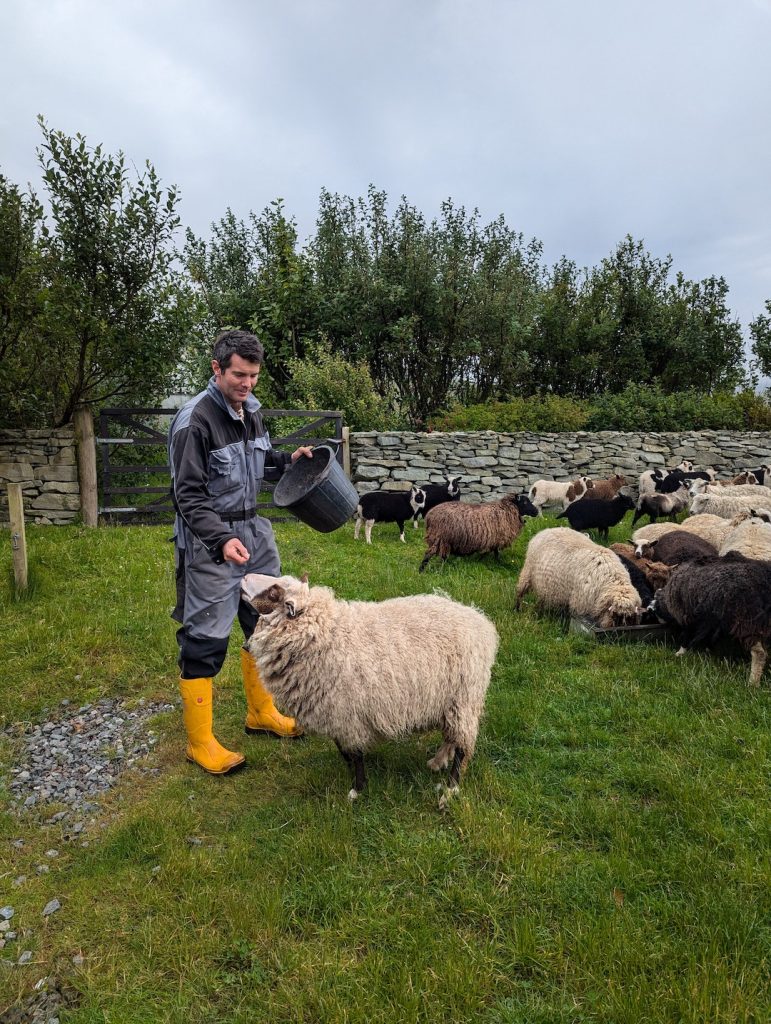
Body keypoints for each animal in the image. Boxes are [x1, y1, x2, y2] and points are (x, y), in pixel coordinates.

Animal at [241, 572, 499, 803]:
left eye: (273, 593)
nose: (243, 577)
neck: (325, 633)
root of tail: (480, 622)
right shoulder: (335, 715)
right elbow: (344, 749)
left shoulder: (347, 715)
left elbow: (355, 754)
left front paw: (357, 789)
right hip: (448, 702)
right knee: (451, 737)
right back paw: (437, 762)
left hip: (464, 698)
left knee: (463, 746)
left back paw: (450, 789)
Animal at [515, 528, 643, 627]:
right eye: (615, 616)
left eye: (630, 618)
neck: (610, 581)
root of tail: (548, 530)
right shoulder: (580, 605)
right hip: (527, 572)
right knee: (520, 592)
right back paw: (517, 609)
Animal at [652, 553, 771, 686]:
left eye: (656, 611)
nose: (659, 622)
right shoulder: (710, 618)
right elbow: (710, 636)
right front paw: (708, 650)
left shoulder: (687, 615)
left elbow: (686, 634)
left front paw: (680, 652)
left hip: (747, 619)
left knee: (759, 653)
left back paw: (753, 683)